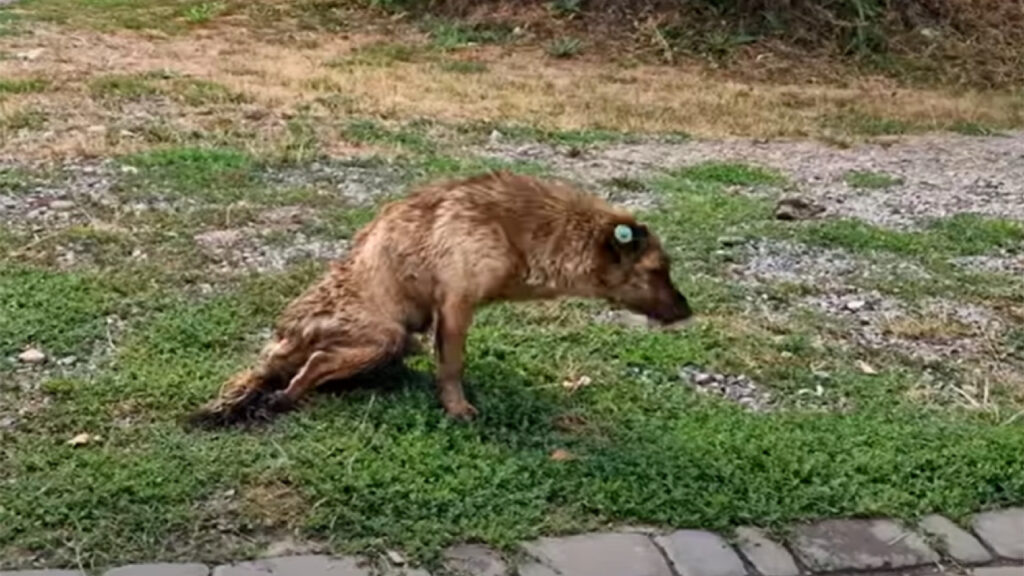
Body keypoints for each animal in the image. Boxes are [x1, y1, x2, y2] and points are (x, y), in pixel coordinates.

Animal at [188, 168, 692, 424]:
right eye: (657, 270)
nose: (689, 312)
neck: (522, 232)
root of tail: (281, 340)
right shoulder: (454, 306)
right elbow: (452, 367)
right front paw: (457, 408)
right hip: (386, 337)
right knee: (311, 367)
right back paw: (289, 397)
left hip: (395, 342)